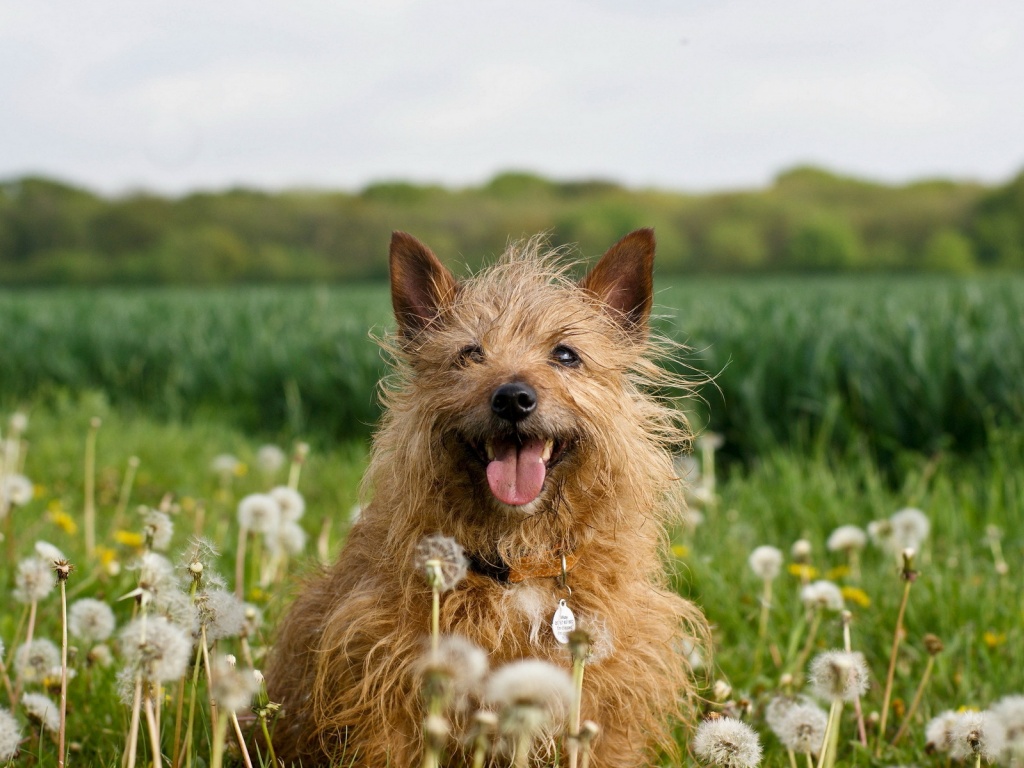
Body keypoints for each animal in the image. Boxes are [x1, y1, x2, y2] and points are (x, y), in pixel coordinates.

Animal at [268, 230, 708, 768]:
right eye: (468, 354)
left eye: (566, 354)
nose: (513, 398)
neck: (517, 561)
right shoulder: (387, 700)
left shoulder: (607, 711)